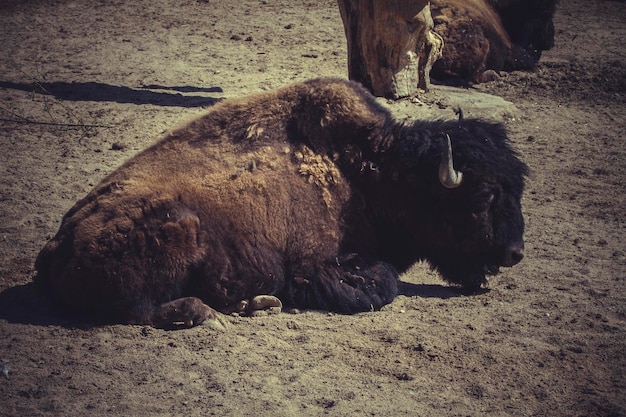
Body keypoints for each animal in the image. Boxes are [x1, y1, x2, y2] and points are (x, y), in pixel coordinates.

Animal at [35, 76, 528, 326]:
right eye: (482, 197)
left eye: (517, 186)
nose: (514, 253)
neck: (367, 169)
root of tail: (56, 247)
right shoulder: (313, 263)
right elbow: (381, 283)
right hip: (179, 224)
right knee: (140, 310)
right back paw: (213, 310)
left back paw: (249, 304)